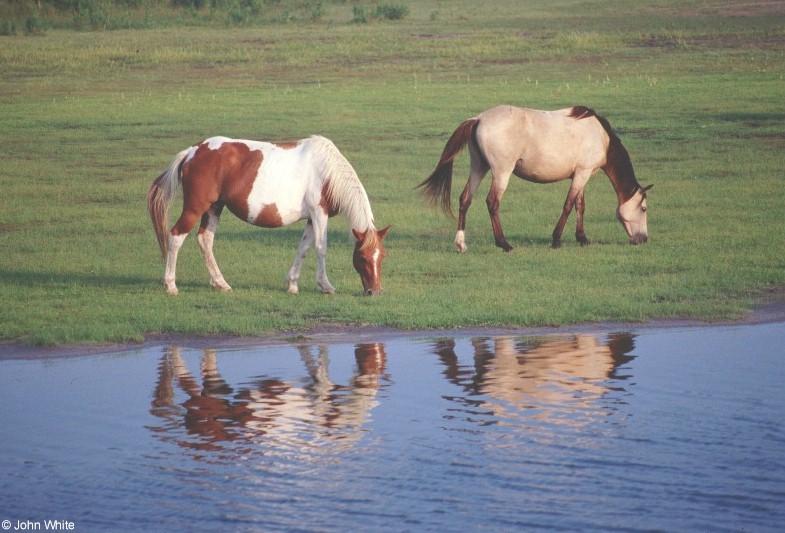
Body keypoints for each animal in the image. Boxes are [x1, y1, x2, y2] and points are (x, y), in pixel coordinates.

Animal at [145, 135, 390, 296]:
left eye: (382, 257)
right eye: (362, 258)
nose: (374, 291)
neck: (328, 172)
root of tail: (192, 151)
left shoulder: (312, 218)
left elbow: (303, 248)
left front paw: (292, 284)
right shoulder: (319, 213)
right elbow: (321, 248)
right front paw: (325, 285)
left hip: (214, 207)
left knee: (205, 240)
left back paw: (220, 283)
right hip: (195, 207)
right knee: (176, 237)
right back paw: (171, 285)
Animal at [420, 106, 652, 254]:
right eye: (643, 209)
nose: (643, 239)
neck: (601, 137)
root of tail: (478, 118)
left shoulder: (581, 175)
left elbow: (580, 205)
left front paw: (582, 238)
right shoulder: (583, 174)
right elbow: (569, 205)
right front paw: (556, 240)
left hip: (479, 167)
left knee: (465, 199)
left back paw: (461, 245)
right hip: (501, 172)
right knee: (492, 202)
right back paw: (504, 244)